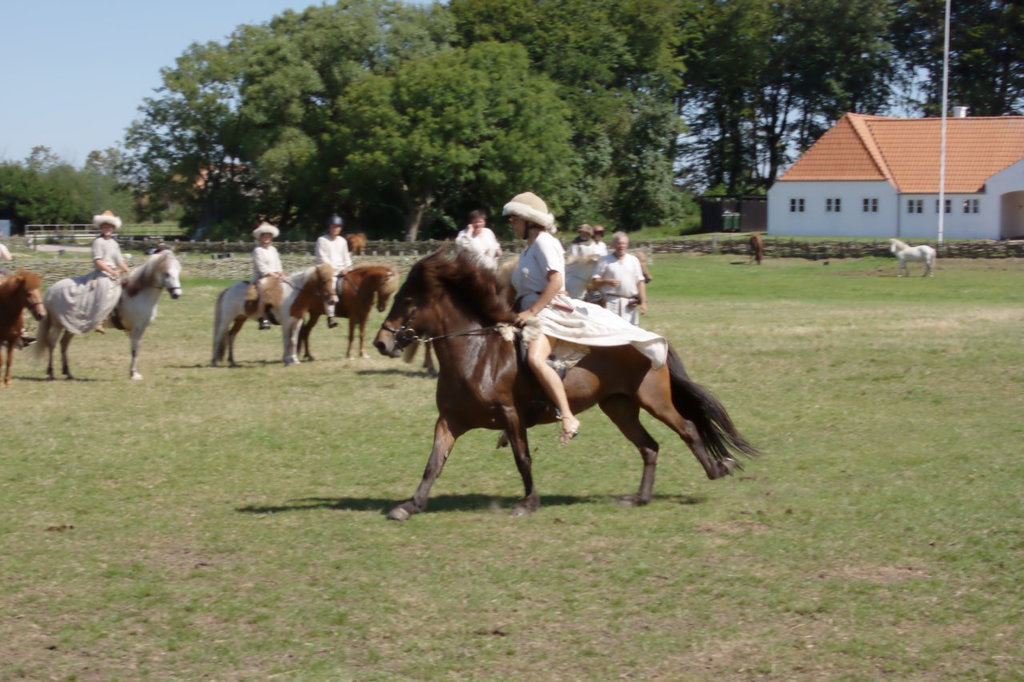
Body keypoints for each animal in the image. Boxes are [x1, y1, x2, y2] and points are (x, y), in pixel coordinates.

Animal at [35, 248, 184, 378]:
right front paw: (134, 374)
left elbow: (135, 349)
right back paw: (50, 373)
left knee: (64, 344)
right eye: (166, 273)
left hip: (71, 326)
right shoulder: (136, 328)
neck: (138, 294)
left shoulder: (138, 329)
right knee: (52, 344)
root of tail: (51, 290)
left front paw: (133, 372)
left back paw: (68, 373)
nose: (177, 294)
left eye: (178, 271)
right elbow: (135, 350)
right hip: (57, 325)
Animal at [211, 261, 339, 366]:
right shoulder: (286, 322)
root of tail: (228, 290)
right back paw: (214, 362)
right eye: (324, 281)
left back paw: (232, 361)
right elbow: (286, 340)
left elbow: (293, 340)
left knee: (231, 335)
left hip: (240, 319)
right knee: (219, 336)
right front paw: (286, 360)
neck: (294, 294)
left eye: (333, 281)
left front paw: (295, 360)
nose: (333, 300)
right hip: (226, 319)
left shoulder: (297, 321)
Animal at [372, 249, 757, 520]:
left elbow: (522, 458)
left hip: (655, 401)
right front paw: (410, 505)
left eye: (408, 303)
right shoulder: (450, 420)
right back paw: (639, 497)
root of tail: (647, 337)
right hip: (619, 407)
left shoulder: (511, 415)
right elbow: (434, 462)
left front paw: (528, 502)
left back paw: (717, 469)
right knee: (649, 447)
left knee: (688, 428)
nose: (381, 343)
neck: (475, 355)